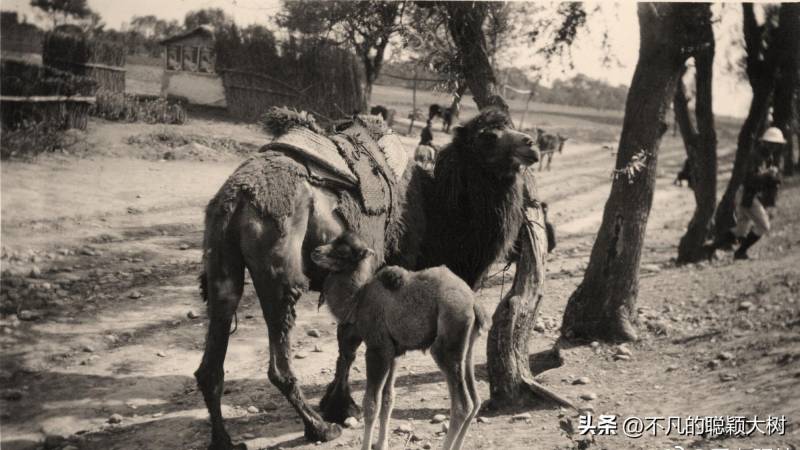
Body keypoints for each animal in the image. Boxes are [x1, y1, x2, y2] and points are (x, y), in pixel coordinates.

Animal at [312, 232, 488, 450]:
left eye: (343, 252)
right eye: (333, 241)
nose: (316, 251)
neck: (358, 300)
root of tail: (474, 303)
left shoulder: (377, 348)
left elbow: (371, 404)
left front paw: (367, 445)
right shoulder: (394, 353)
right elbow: (388, 399)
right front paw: (381, 444)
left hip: (448, 339)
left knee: (462, 405)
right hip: (467, 346)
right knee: (475, 400)